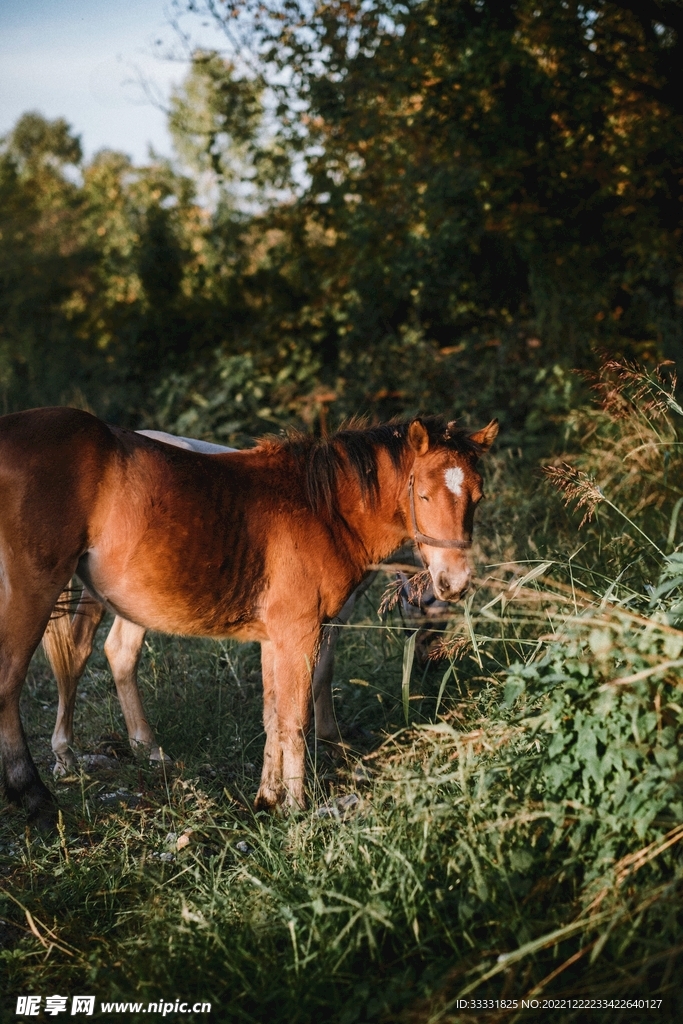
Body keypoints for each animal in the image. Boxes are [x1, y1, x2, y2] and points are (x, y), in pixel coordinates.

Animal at [0, 407, 497, 827]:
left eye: (477, 497)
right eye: (424, 494)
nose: (455, 582)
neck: (322, 509)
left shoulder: (276, 637)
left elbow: (273, 716)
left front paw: (268, 798)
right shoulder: (303, 631)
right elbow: (296, 716)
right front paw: (298, 804)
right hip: (36, 590)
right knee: (17, 678)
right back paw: (35, 792)